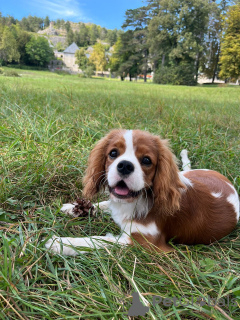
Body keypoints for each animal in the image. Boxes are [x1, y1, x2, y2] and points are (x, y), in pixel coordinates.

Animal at [44, 129, 238, 256]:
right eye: (113, 153)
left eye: (146, 160)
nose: (125, 165)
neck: (137, 200)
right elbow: (104, 205)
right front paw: (73, 208)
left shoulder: (144, 243)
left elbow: (98, 241)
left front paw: (61, 243)